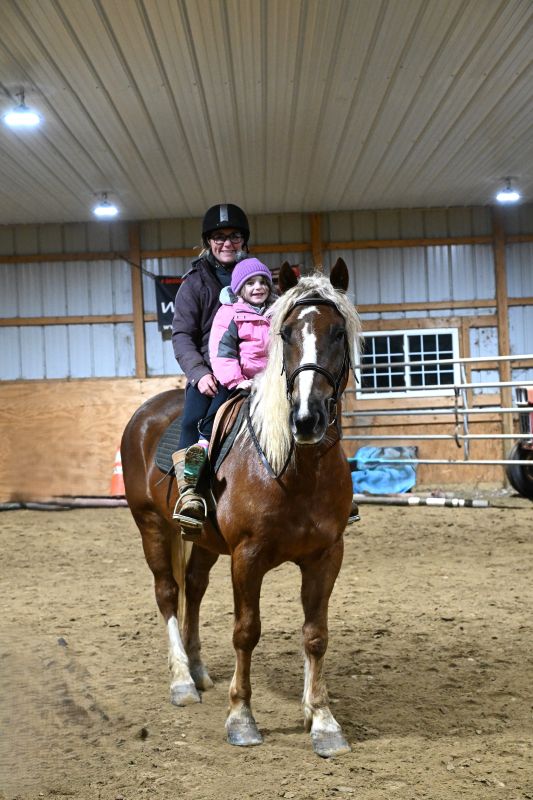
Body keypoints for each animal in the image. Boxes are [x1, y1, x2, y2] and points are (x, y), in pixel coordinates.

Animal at [121, 258, 361, 758]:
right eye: (285, 333)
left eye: (336, 332)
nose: (306, 418)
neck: (295, 467)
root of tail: (146, 412)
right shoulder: (247, 558)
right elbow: (246, 631)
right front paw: (241, 718)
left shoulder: (326, 556)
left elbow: (316, 634)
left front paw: (321, 719)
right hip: (150, 526)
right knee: (168, 593)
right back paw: (181, 682)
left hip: (203, 542)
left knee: (193, 588)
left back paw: (197, 670)